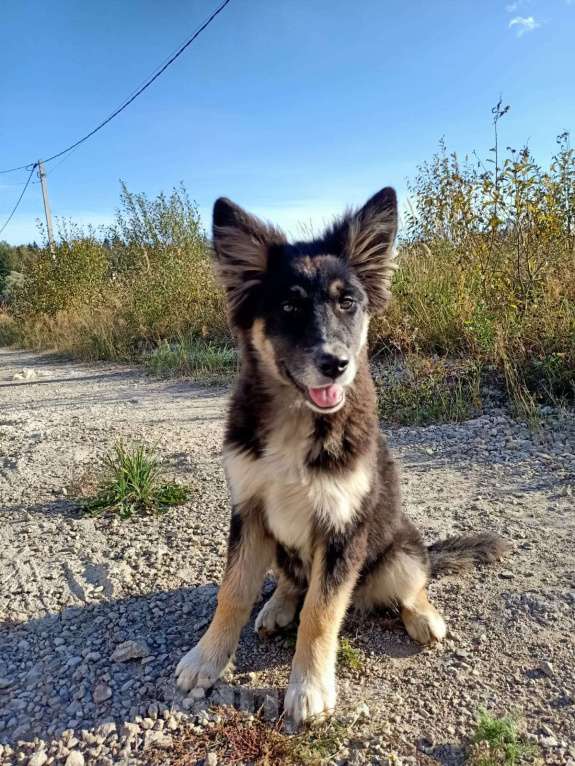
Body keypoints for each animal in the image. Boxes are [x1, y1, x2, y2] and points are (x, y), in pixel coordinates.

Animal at [176, 188, 508, 728]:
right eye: (289, 305)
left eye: (347, 302)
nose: (336, 364)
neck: (298, 417)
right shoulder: (249, 512)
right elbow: (233, 592)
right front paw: (207, 658)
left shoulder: (342, 527)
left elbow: (321, 612)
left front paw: (309, 687)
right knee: (290, 582)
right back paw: (277, 606)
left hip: (399, 548)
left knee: (413, 583)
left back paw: (424, 615)